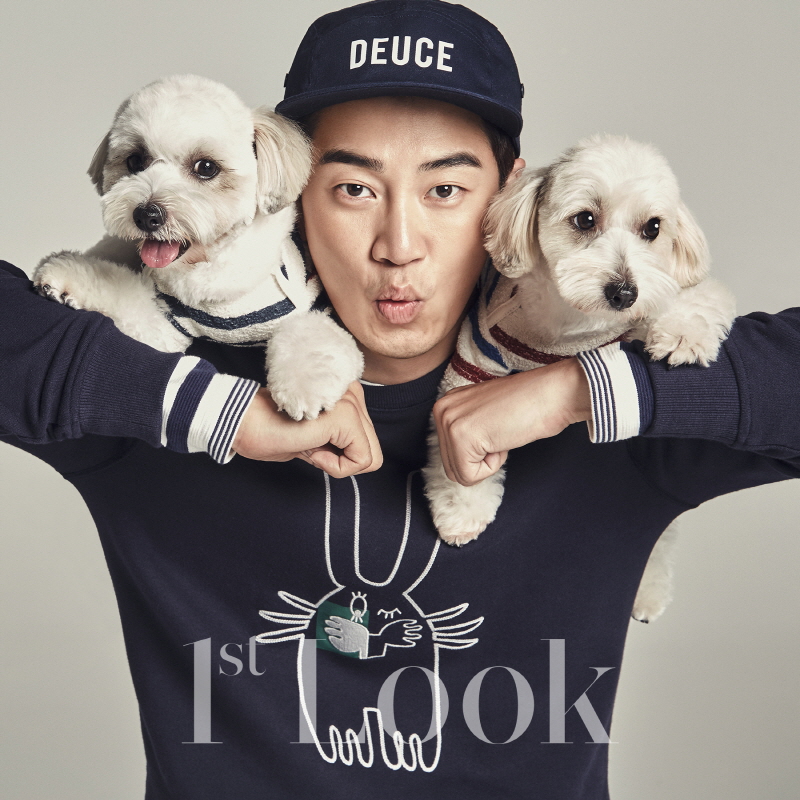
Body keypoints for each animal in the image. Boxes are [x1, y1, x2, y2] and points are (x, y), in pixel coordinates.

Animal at [33, 74, 363, 422]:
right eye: (135, 161)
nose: (146, 215)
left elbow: (312, 336)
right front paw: (67, 279)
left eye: (206, 167)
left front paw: (305, 386)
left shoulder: (311, 307)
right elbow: (126, 300)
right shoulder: (167, 322)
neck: (209, 268)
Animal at [422, 134, 736, 622]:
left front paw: (684, 333)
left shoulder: (658, 300)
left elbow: (697, 296)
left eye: (653, 228)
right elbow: (457, 447)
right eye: (585, 219)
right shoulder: (476, 355)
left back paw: (649, 591)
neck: (570, 328)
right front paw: (462, 508)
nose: (624, 292)